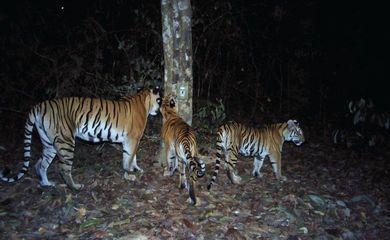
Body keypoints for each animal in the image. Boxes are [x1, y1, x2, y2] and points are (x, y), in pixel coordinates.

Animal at [0, 86, 161, 189]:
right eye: (159, 100)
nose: (159, 111)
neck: (143, 101)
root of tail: (38, 106)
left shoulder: (131, 140)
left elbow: (132, 157)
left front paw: (136, 170)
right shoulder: (132, 139)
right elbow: (129, 158)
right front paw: (130, 175)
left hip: (49, 143)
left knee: (40, 164)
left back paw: (47, 184)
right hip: (66, 141)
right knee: (63, 167)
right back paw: (75, 187)